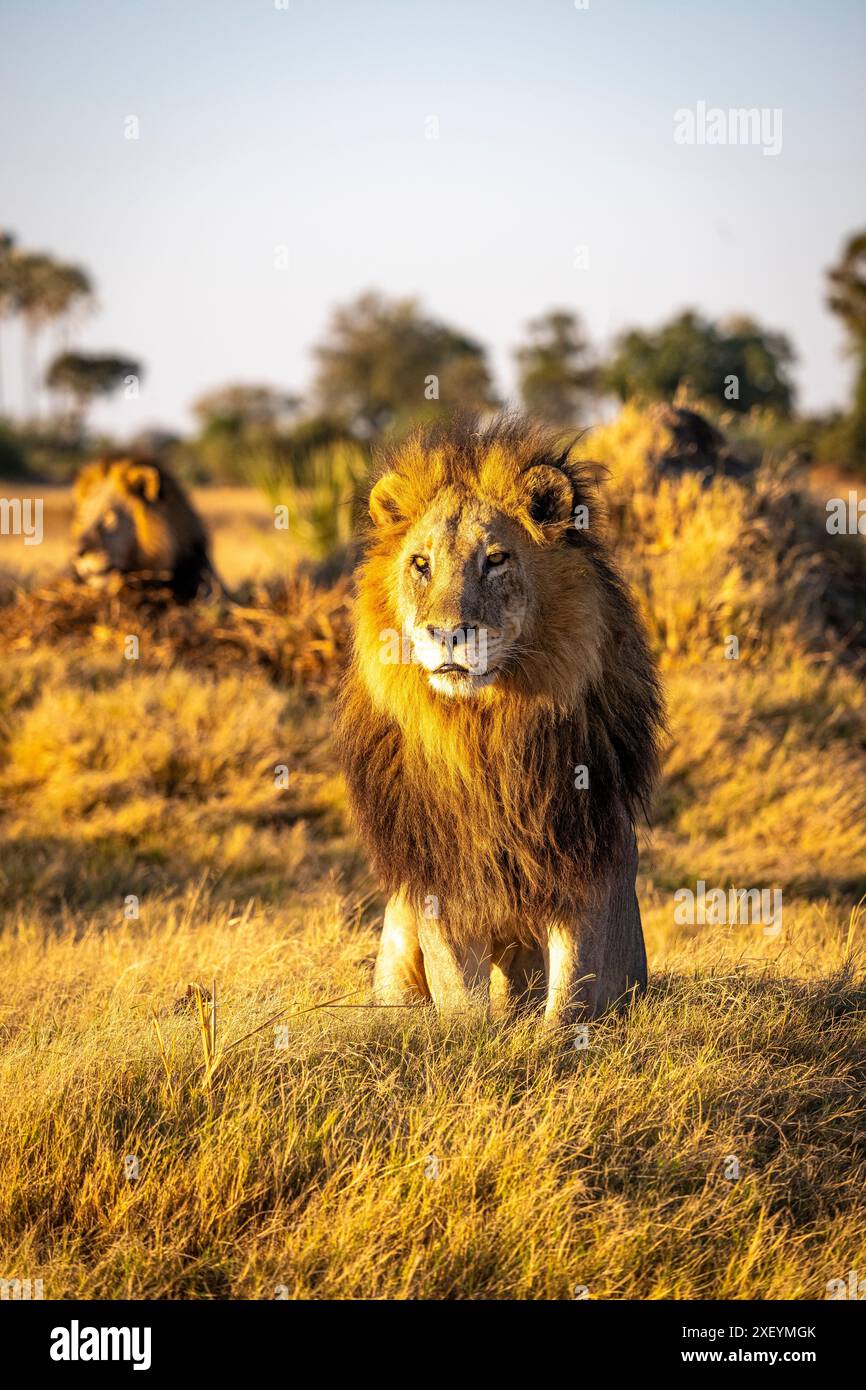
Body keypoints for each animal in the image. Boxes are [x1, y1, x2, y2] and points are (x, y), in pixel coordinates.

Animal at [335, 417, 667, 1028]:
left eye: (495, 560)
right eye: (421, 564)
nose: (447, 633)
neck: (483, 731)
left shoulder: (590, 864)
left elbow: (573, 994)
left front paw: (554, 1042)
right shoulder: (440, 880)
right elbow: (459, 995)